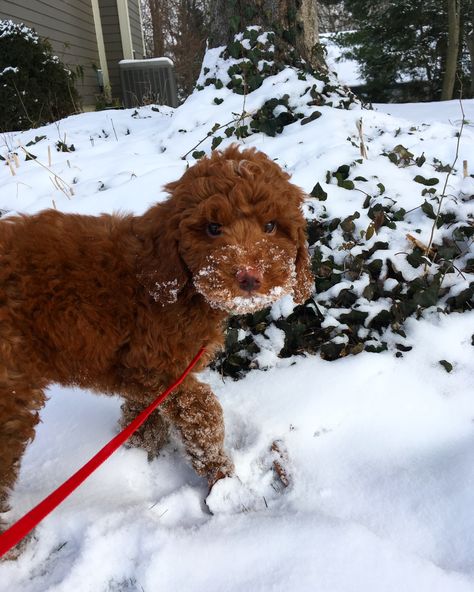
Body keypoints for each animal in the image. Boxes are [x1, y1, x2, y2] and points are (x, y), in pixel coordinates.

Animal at [0, 146, 314, 528]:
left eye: (270, 226)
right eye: (212, 228)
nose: (248, 276)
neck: (182, 282)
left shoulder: (141, 376)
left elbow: (143, 413)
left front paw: (139, 447)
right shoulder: (159, 369)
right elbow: (203, 413)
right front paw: (223, 479)